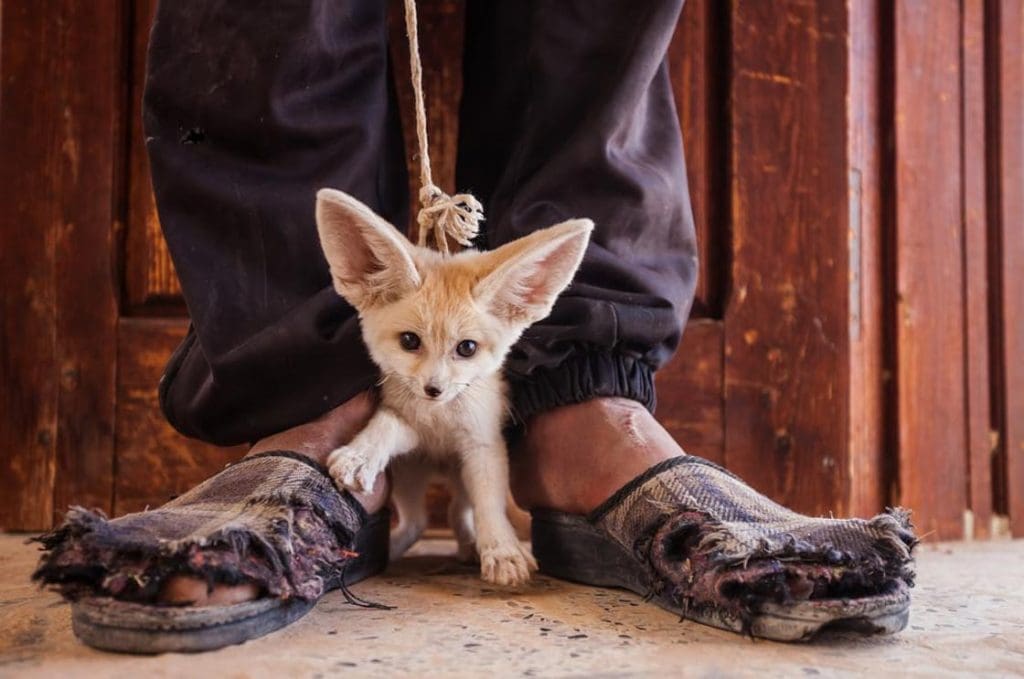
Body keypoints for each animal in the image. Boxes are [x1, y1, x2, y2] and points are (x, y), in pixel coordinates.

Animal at [317, 188, 593, 585]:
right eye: (409, 341)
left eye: (467, 348)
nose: (434, 390)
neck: (440, 423)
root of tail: (440, 470)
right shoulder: (409, 426)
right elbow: (387, 424)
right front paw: (362, 454)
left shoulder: (482, 446)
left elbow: (490, 506)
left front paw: (503, 550)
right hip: (409, 477)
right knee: (419, 522)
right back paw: (394, 549)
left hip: (459, 479)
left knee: (457, 514)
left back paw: (470, 546)